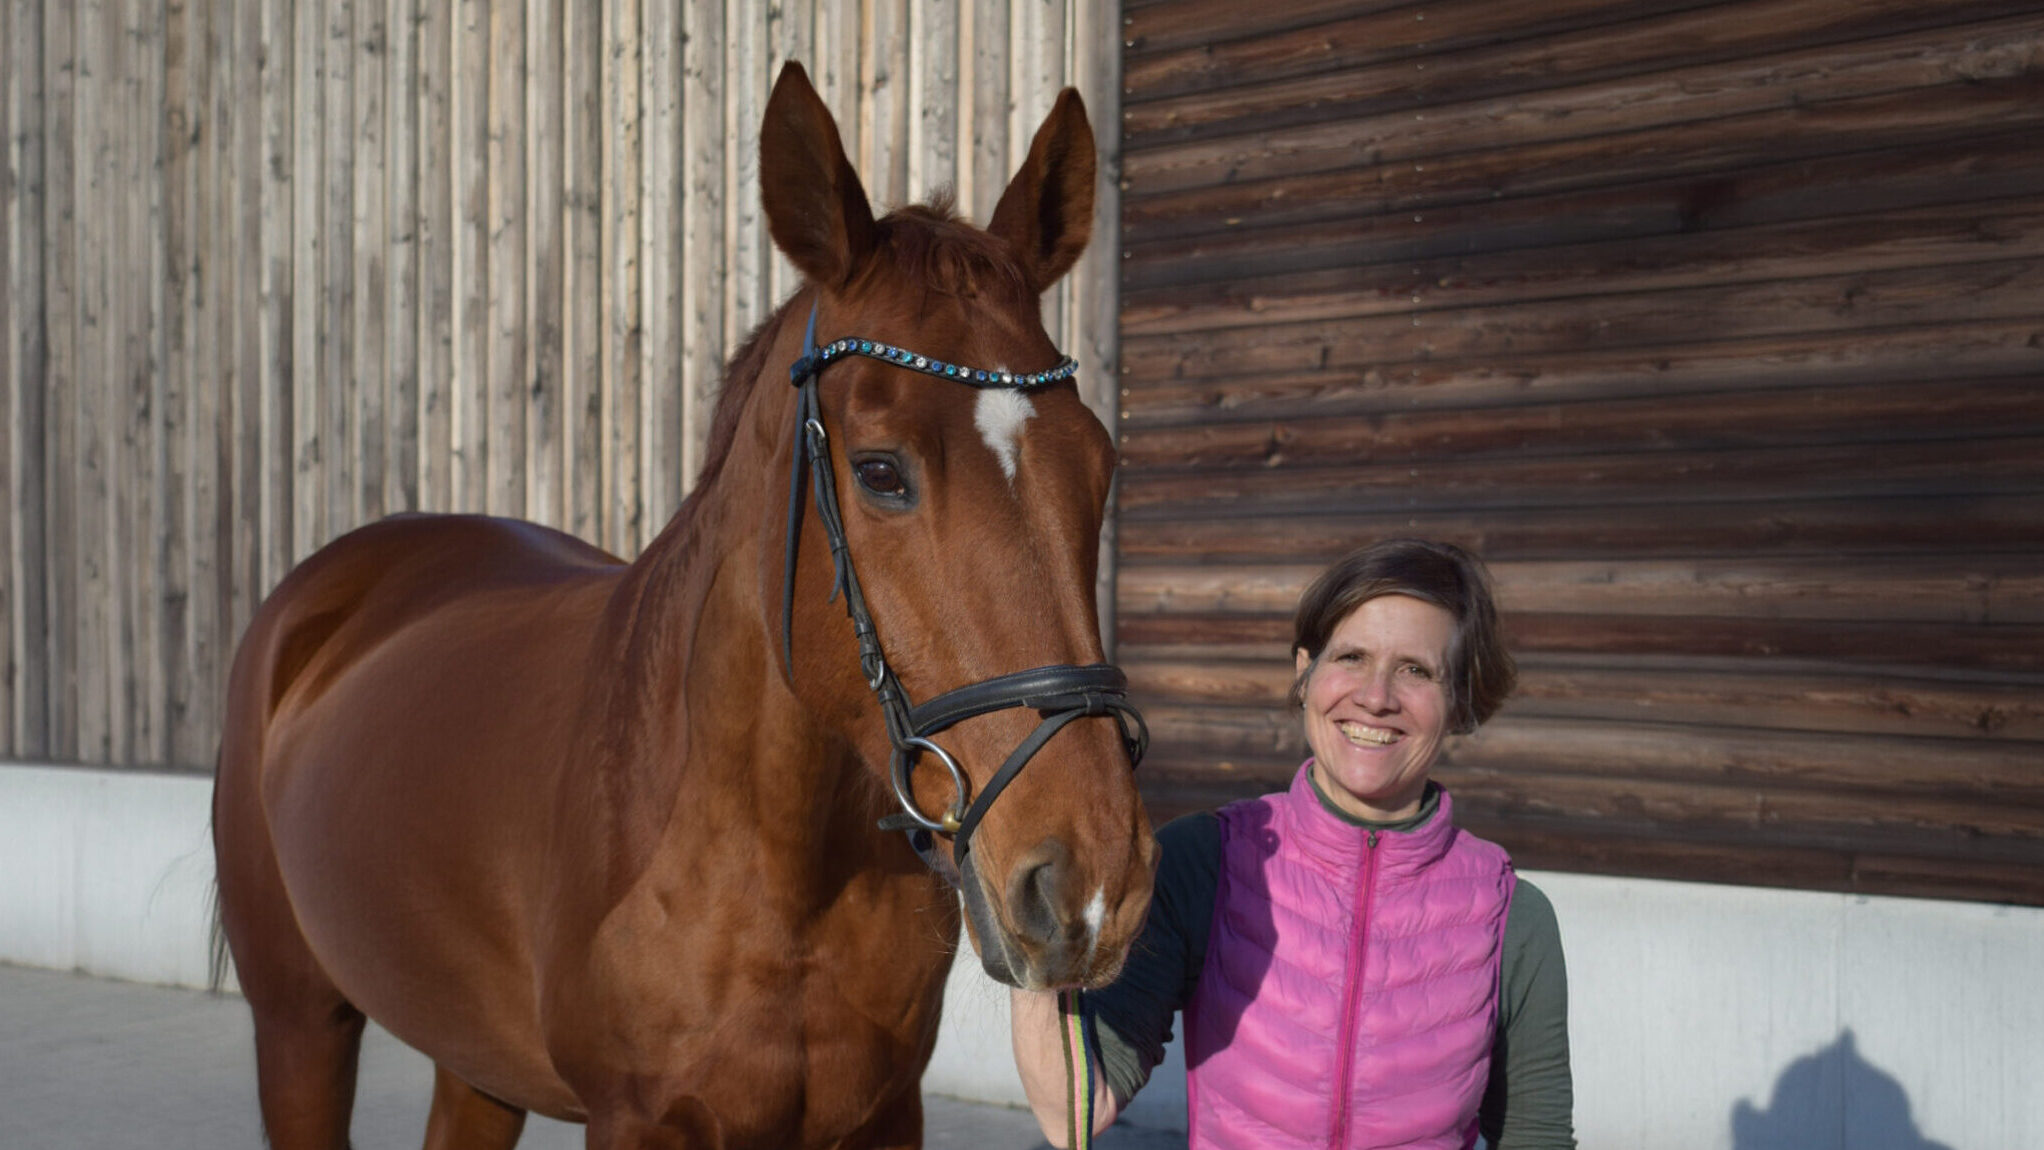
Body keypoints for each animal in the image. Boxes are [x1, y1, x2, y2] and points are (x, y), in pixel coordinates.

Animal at [212, 61, 1156, 1149]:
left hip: (472, 1059)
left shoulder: (884, 1114)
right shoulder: (637, 1120)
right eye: (880, 472)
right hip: (299, 1022)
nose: (1095, 883)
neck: (779, 865)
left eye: (1098, 464)